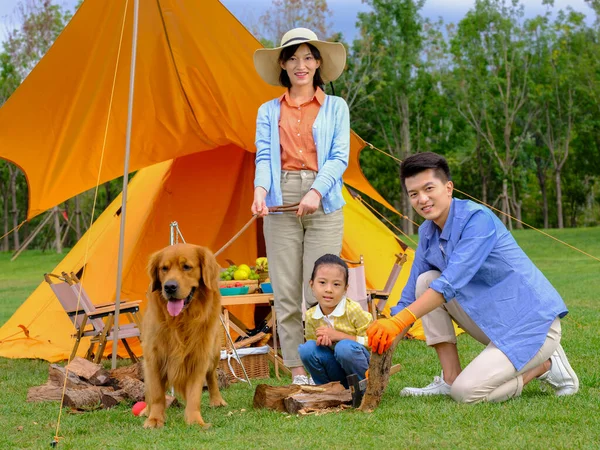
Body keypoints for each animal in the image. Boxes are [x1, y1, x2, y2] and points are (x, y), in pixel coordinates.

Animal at [142, 243, 226, 428]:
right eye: (164, 268)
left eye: (186, 267)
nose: (169, 287)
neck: (179, 321)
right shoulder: (154, 357)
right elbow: (156, 392)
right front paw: (154, 419)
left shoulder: (199, 357)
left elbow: (194, 394)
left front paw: (195, 420)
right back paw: (146, 410)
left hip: (214, 353)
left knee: (212, 376)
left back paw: (217, 400)